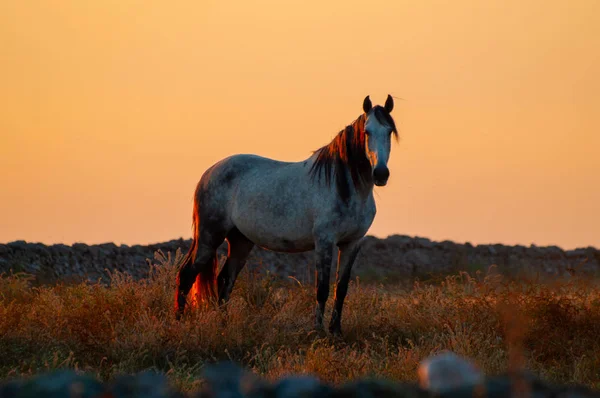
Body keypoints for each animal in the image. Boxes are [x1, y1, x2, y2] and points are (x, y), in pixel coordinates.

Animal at [173, 95, 398, 334]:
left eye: (389, 131)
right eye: (367, 132)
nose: (380, 174)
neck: (344, 187)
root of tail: (209, 172)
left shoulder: (352, 243)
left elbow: (341, 289)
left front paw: (336, 331)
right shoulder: (324, 242)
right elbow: (322, 289)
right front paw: (318, 332)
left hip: (240, 240)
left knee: (225, 280)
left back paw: (224, 326)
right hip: (209, 237)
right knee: (187, 275)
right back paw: (178, 324)